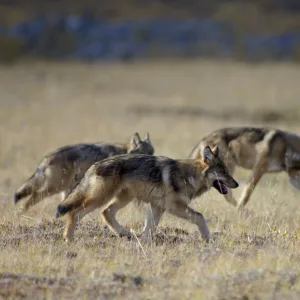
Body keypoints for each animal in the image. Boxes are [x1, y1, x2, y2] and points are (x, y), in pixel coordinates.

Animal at [14, 132, 155, 212]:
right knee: (32, 197)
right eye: (144, 152)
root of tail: (47, 157)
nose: (150, 163)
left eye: (152, 152)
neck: (124, 151)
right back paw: (21, 213)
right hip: (53, 188)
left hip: (65, 189)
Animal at [55, 146, 239, 244]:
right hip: (101, 198)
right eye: (224, 173)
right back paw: (68, 239)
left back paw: (124, 234)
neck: (190, 175)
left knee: (106, 212)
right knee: (75, 213)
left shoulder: (157, 207)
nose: (237, 184)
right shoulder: (175, 207)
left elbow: (149, 229)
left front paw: (144, 242)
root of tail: (93, 165)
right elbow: (200, 217)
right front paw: (209, 239)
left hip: (123, 198)